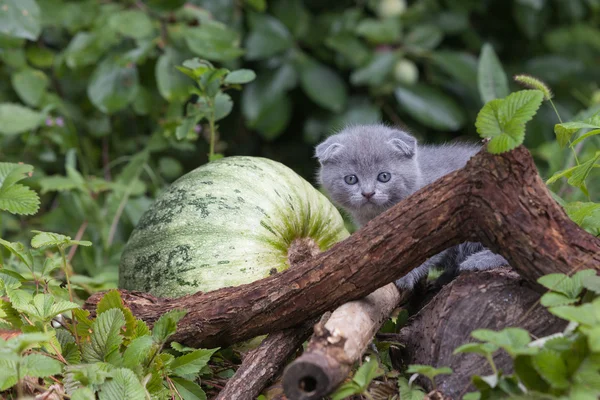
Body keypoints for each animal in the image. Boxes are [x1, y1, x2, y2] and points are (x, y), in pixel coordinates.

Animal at [314, 125, 506, 290]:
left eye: (384, 176)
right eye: (351, 179)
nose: (368, 193)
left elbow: (424, 254)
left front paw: (405, 277)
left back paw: (479, 260)